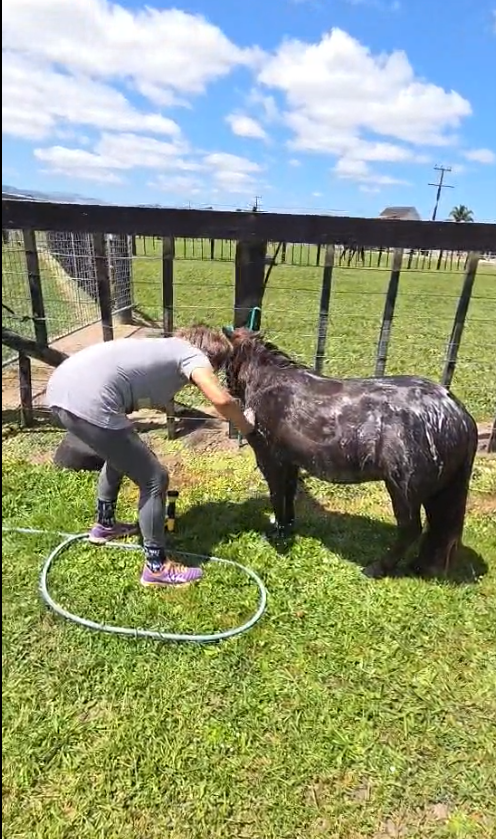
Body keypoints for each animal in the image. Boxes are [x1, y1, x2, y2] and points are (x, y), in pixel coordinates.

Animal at [223, 328, 478, 579]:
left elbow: (277, 497)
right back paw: (420, 566)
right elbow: (289, 494)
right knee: (437, 528)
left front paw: (278, 532)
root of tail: (459, 415)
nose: (227, 388)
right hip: (439, 491)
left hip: (404, 488)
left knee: (410, 529)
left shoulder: (270, 460)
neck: (270, 382)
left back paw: (377, 569)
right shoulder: (291, 462)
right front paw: (288, 526)